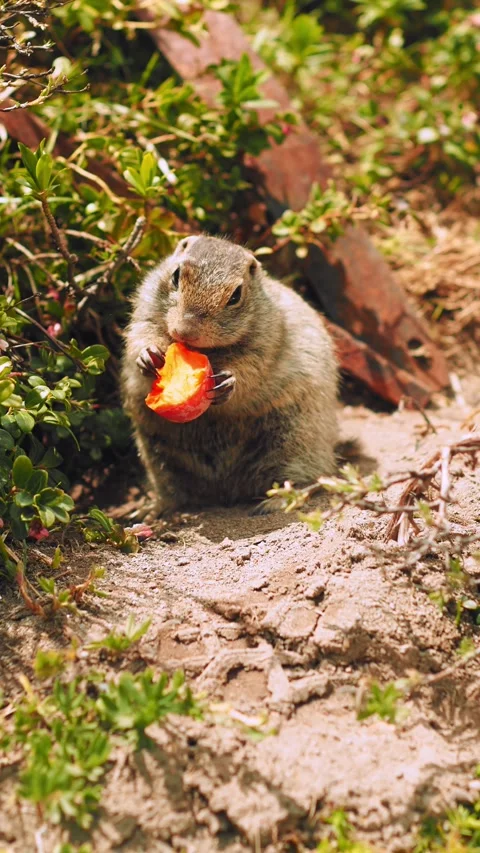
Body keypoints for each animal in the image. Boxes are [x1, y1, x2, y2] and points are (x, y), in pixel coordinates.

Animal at [121, 235, 338, 514]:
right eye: (176, 275)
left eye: (236, 295)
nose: (185, 331)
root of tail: (226, 493)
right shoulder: (144, 308)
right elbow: (140, 332)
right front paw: (146, 355)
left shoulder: (265, 339)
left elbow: (249, 367)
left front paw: (227, 383)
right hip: (156, 450)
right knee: (173, 491)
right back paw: (154, 510)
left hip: (296, 439)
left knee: (310, 476)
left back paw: (278, 500)